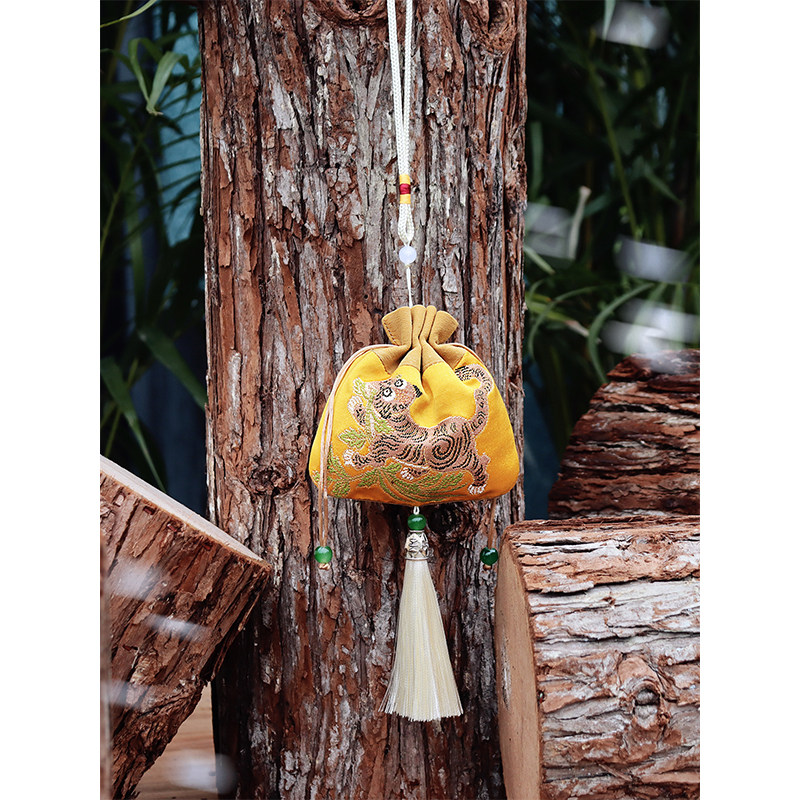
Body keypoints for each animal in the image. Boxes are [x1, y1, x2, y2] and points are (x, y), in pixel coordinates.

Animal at [342, 364, 492, 495]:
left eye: (387, 392)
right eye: (398, 382)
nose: (372, 384)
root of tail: (466, 423)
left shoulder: (381, 451)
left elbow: (367, 459)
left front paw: (350, 457)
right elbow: (362, 417)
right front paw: (354, 403)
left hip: (451, 459)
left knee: (477, 464)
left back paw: (478, 485)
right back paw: (410, 473)